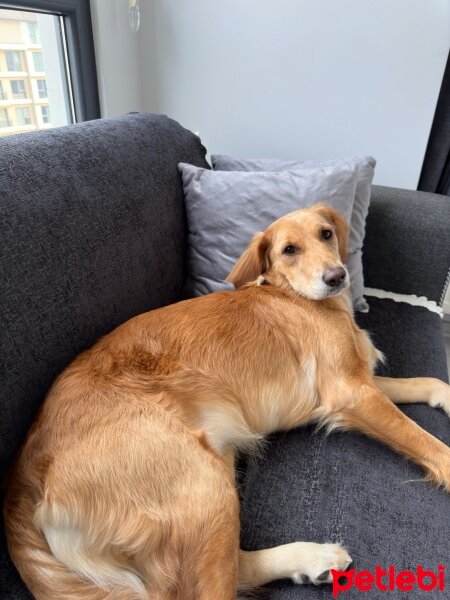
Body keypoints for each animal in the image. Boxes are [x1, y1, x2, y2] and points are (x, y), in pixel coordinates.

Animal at [3, 204, 450, 596]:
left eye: (326, 234)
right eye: (289, 250)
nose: (337, 276)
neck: (295, 296)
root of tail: (23, 479)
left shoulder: (361, 383)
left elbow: (427, 383)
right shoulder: (351, 392)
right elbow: (426, 441)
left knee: (237, 567)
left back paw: (312, 561)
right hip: (204, 489)